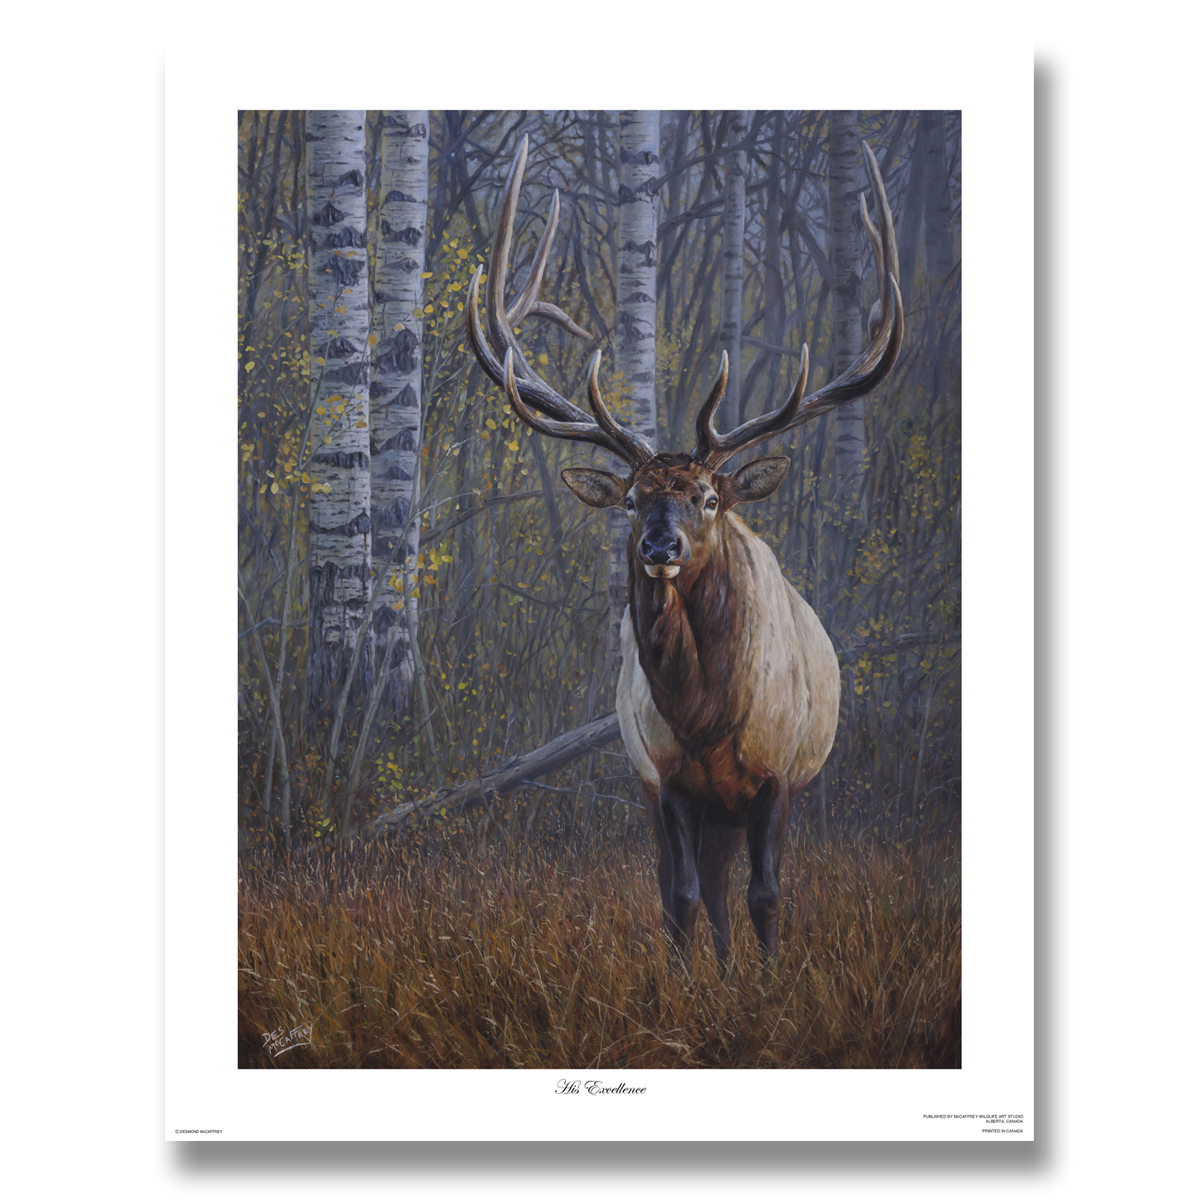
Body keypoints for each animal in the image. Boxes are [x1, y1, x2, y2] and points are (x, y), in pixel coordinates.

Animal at [464, 135, 903, 966]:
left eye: (707, 497)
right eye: (632, 498)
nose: (659, 544)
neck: (709, 714)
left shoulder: (776, 779)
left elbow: (767, 895)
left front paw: (767, 982)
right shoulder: (664, 777)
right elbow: (681, 899)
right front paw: (683, 982)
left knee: (735, 889)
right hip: (676, 798)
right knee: (701, 888)